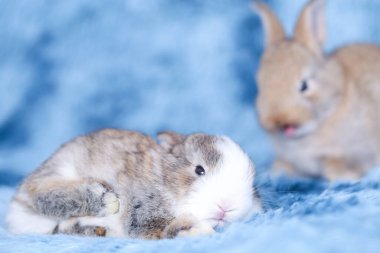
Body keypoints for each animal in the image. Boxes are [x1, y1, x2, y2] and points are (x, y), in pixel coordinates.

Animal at [5, 129, 262, 238]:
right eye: (199, 170)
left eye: (252, 183)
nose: (226, 207)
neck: (164, 174)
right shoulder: (146, 213)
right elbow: (165, 227)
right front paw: (198, 231)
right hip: (58, 173)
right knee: (43, 195)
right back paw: (106, 201)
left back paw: (98, 231)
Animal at [254, 0, 380, 182]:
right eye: (260, 85)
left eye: (304, 85)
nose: (278, 120)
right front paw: (277, 172)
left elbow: (334, 164)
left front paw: (348, 176)